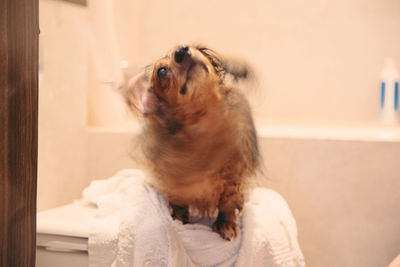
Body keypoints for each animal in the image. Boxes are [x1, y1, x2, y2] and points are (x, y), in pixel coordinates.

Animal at [126, 44, 262, 241]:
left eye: (183, 46)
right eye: (161, 71)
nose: (181, 51)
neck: (204, 123)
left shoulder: (233, 175)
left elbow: (227, 202)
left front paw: (226, 223)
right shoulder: (173, 178)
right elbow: (179, 199)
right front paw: (179, 217)